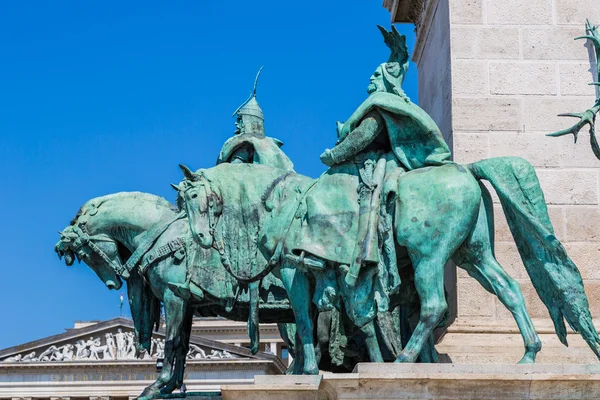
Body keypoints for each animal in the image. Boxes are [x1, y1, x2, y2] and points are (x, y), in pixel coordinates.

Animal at [178, 158, 600, 374]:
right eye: (182, 201)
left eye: (195, 198)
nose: (199, 238)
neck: (276, 199)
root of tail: (465, 169)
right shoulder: (334, 274)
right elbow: (358, 319)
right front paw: (362, 361)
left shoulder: (292, 269)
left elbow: (303, 319)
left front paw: (310, 370)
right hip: (474, 255)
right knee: (509, 289)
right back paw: (529, 352)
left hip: (429, 255)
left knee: (434, 307)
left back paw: (406, 360)